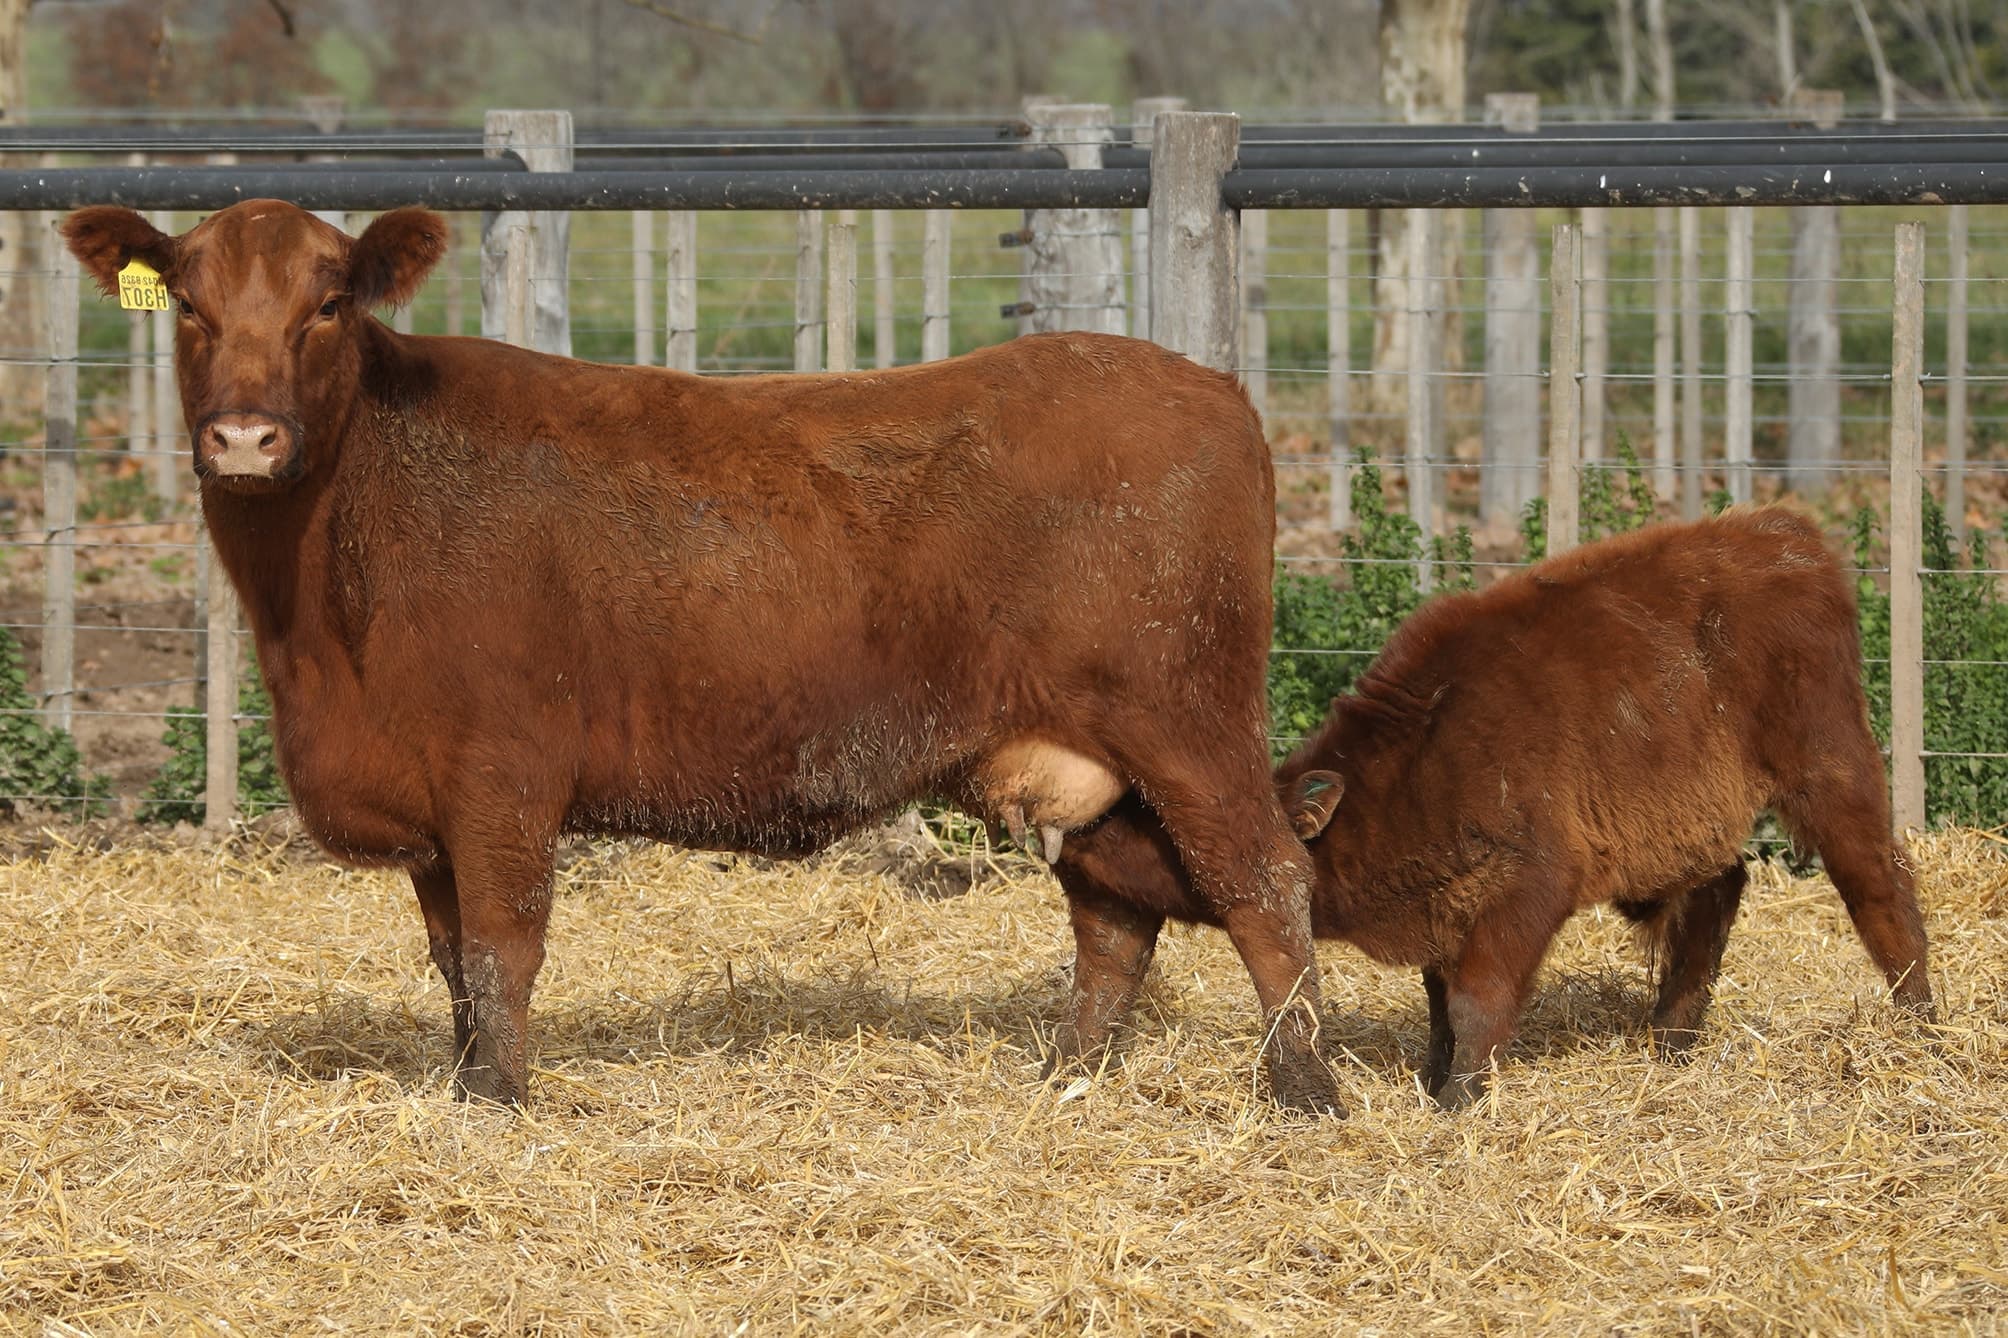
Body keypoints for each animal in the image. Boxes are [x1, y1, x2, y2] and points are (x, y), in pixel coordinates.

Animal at [61, 199, 1339, 1114]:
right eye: (187, 304)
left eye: (327, 302)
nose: (243, 437)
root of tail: (1208, 384)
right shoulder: (430, 801)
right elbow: (450, 959)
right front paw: (466, 1083)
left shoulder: (504, 775)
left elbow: (503, 947)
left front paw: (500, 1100)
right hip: (1098, 763)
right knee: (1114, 918)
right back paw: (1065, 1081)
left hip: (1186, 721)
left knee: (1267, 880)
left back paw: (1301, 1087)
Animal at [1049, 508, 1936, 1109]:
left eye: (1160, 821)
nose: (1082, 830)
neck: (1414, 764)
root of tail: (1785, 533)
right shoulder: (1449, 911)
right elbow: (1442, 1010)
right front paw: (1435, 1076)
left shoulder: (1527, 891)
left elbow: (1480, 1002)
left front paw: (1457, 1101)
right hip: (1688, 832)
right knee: (1720, 893)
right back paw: (1673, 1041)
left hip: (1833, 774)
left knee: (1881, 889)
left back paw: (1922, 1025)